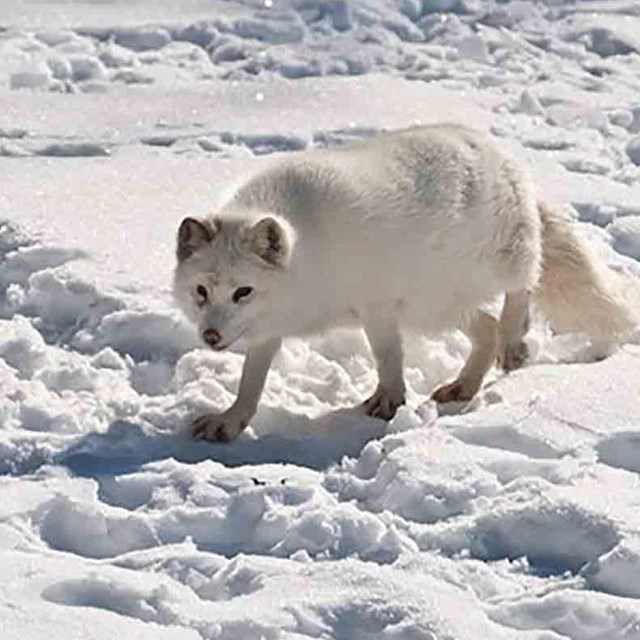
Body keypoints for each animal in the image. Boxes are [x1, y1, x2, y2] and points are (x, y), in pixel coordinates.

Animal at [172, 124, 636, 440]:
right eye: (202, 292)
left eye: (243, 292)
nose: (211, 336)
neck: (308, 256)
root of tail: (501, 155)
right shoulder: (271, 328)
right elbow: (251, 380)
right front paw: (231, 420)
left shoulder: (376, 304)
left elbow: (386, 355)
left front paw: (389, 400)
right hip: (436, 305)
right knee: (485, 327)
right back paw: (464, 385)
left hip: (493, 267)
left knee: (522, 288)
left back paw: (514, 340)